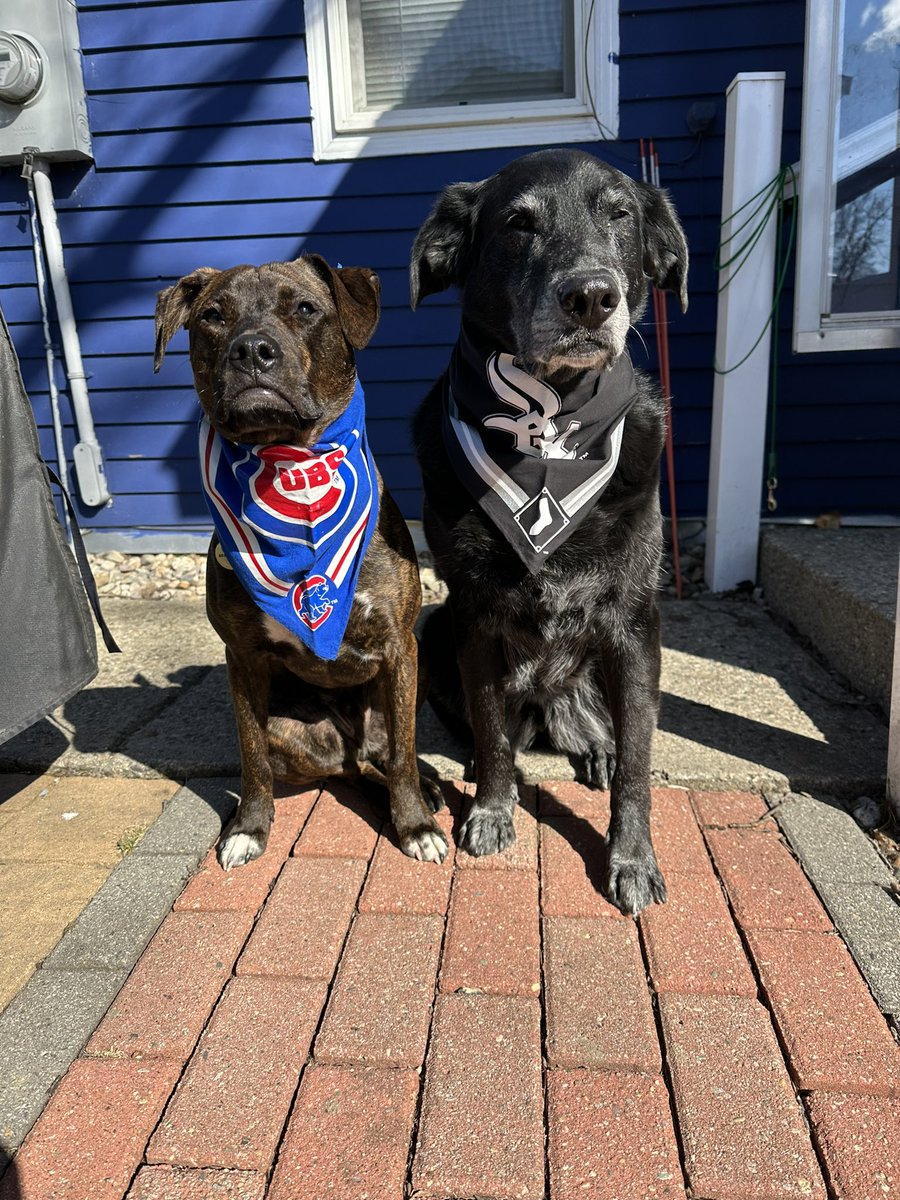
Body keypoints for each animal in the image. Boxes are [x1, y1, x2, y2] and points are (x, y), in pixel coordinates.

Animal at [157, 255, 451, 873]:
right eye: (213, 316)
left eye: (307, 309)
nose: (251, 349)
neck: (291, 471)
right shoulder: (242, 659)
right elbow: (251, 757)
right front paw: (248, 827)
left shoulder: (399, 646)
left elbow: (405, 751)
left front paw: (416, 825)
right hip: (297, 729)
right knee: (352, 765)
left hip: (415, 671)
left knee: (387, 749)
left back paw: (426, 787)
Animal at [410, 152, 691, 916]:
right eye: (517, 223)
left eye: (619, 214)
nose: (591, 296)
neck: (552, 429)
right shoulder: (472, 617)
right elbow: (491, 730)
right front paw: (492, 806)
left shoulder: (633, 628)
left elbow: (641, 762)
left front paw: (631, 857)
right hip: (434, 630)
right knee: (494, 729)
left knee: (612, 733)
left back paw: (597, 750)